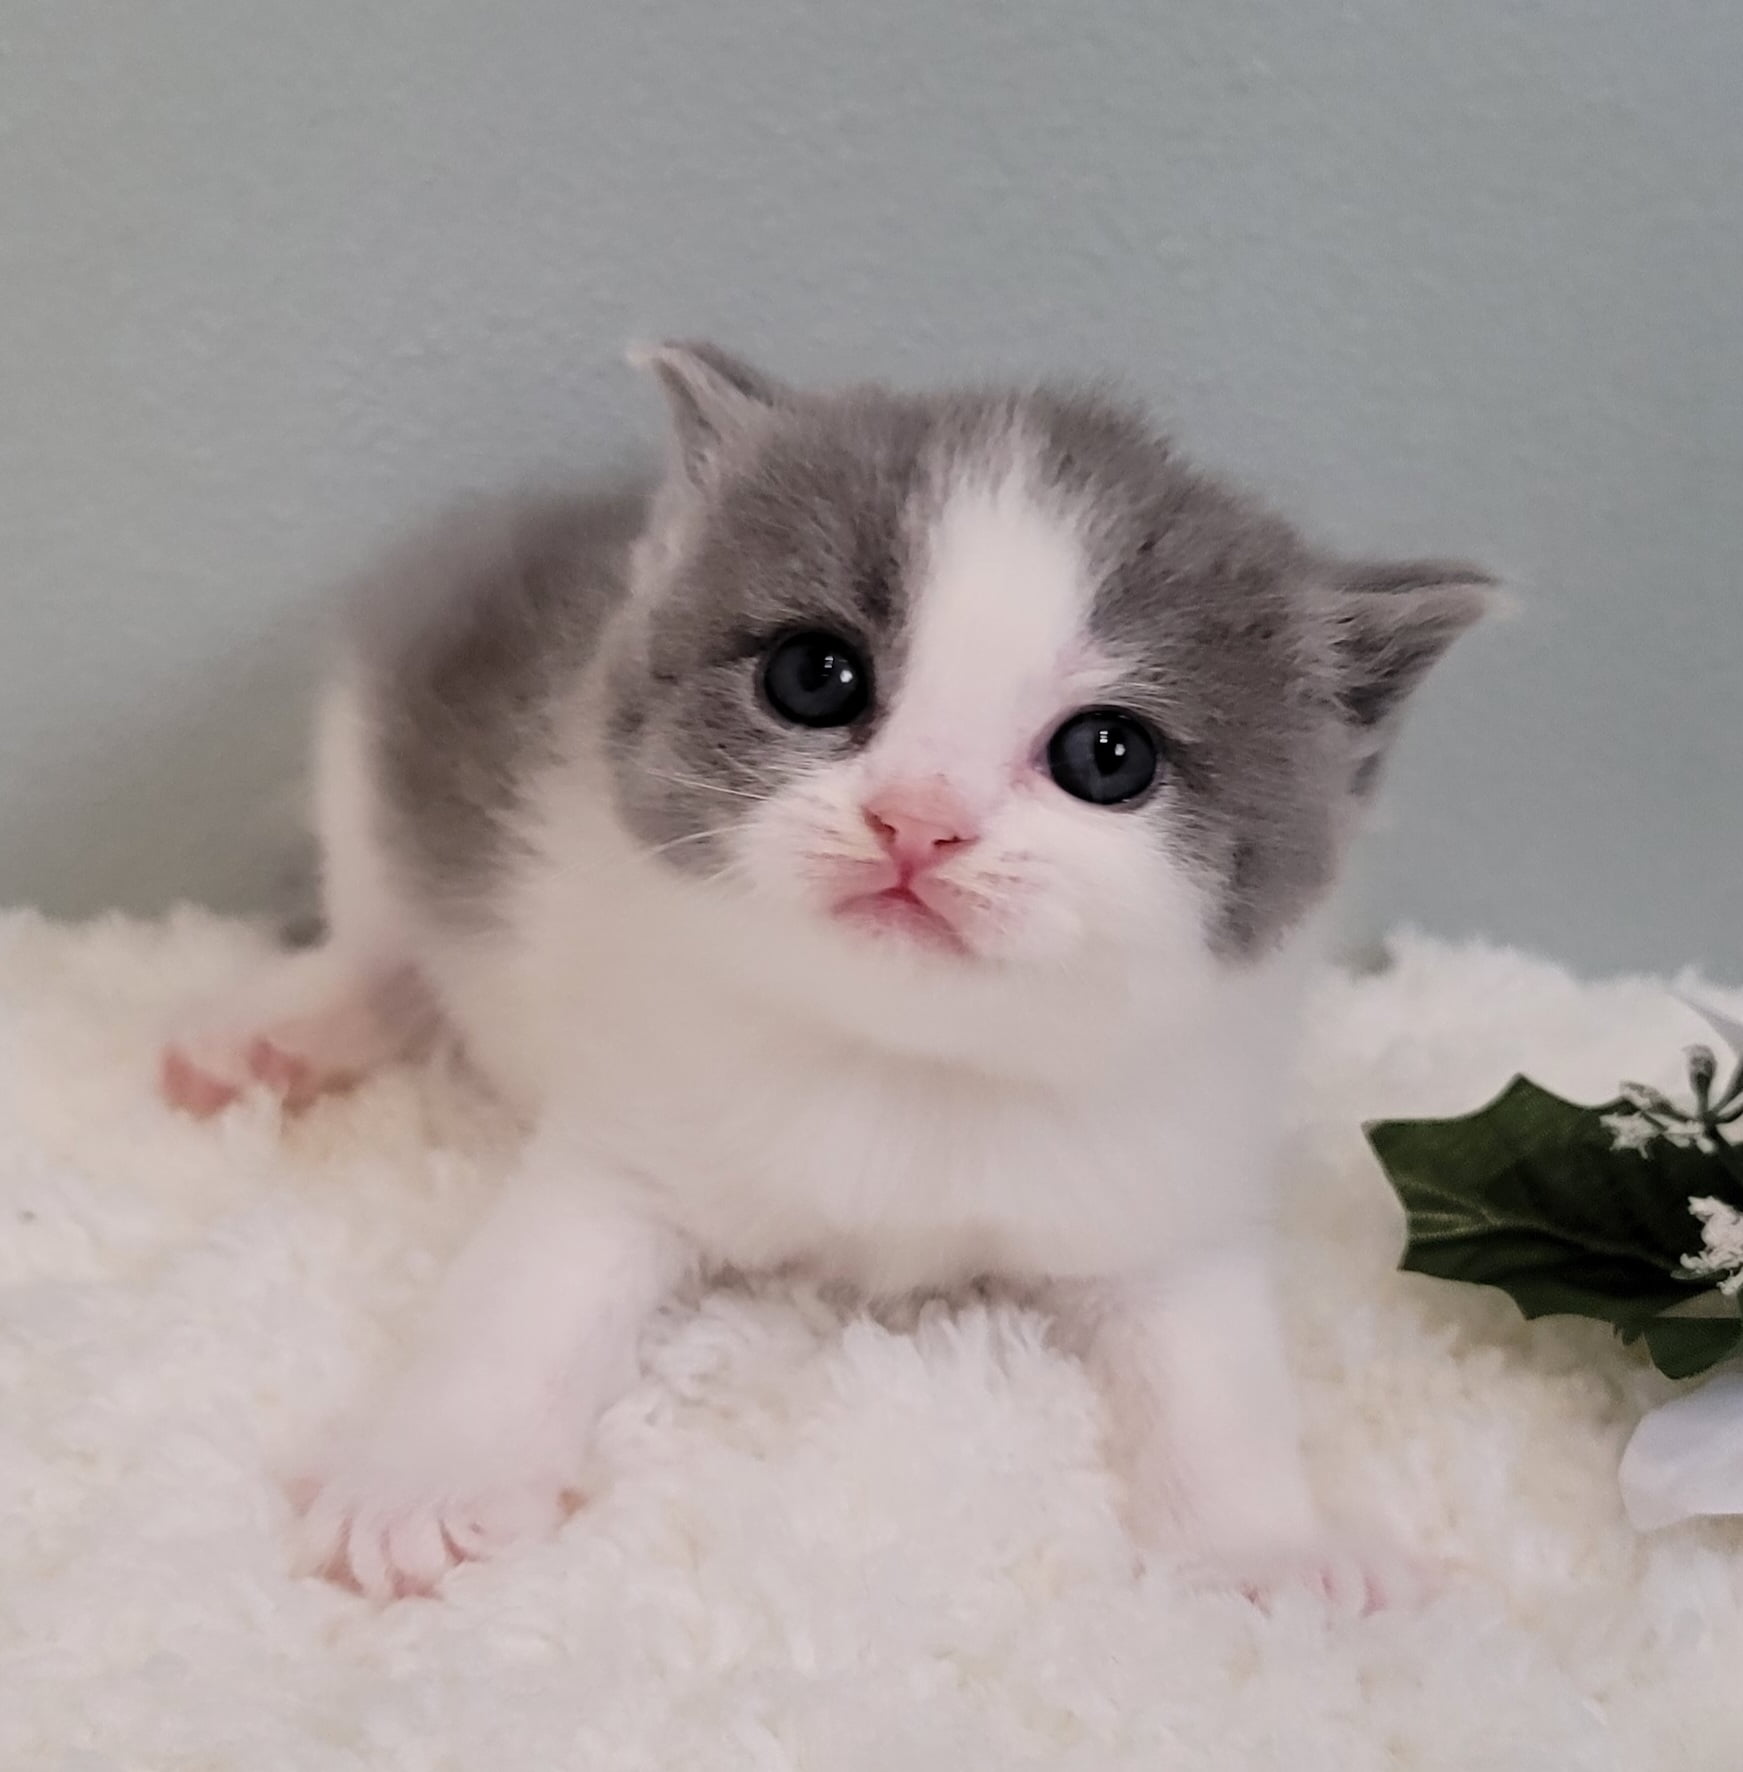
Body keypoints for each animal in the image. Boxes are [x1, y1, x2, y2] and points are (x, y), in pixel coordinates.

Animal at [162, 342, 1488, 1605]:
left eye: (1109, 755)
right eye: (815, 675)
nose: (919, 820)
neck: (909, 1063)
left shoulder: (1160, 1181)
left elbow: (1218, 1375)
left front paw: (1271, 1546)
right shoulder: (631, 1126)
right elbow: (525, 1298)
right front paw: (427, 1476)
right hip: (382, 744)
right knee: (380, 925)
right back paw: (285, 1027)